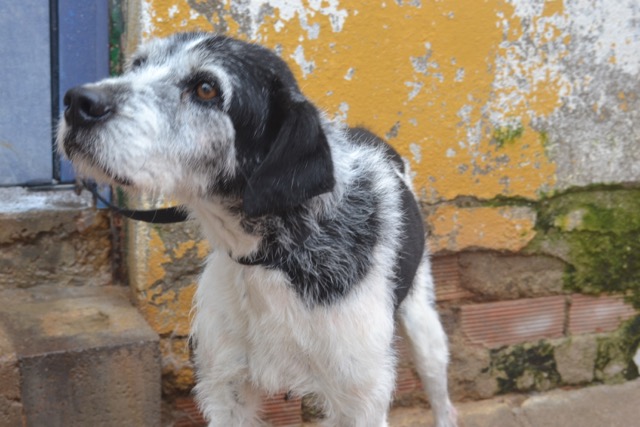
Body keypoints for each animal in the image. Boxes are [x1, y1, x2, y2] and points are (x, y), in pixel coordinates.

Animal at [58, 32, 457, 427]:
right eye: (138, 64)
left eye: (206, 88)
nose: (77, 102)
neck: (276, 256)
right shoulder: (226, 388)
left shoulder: (360, 400)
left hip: (425, 328)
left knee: (443, 401)